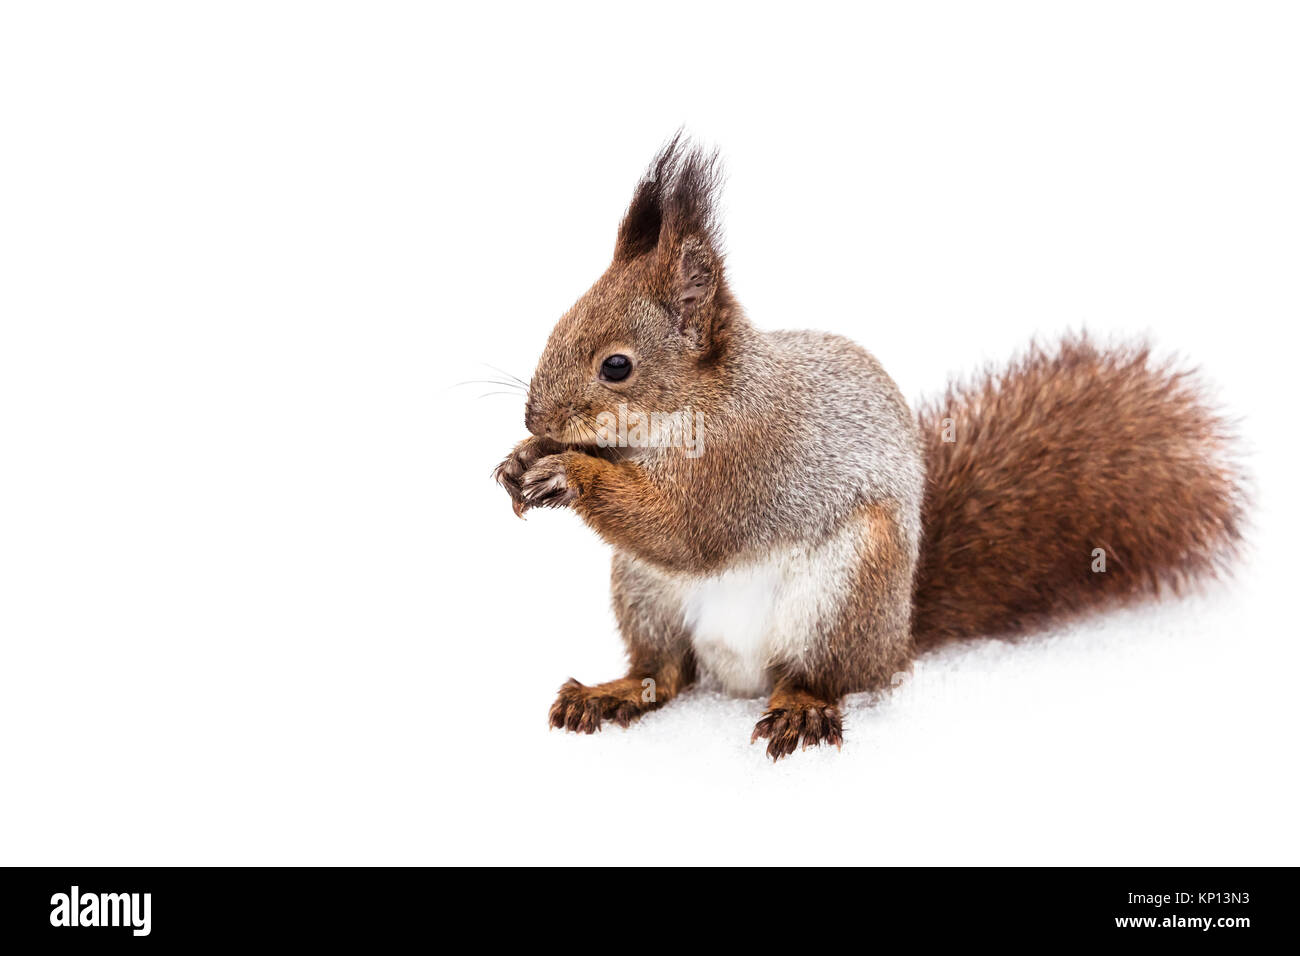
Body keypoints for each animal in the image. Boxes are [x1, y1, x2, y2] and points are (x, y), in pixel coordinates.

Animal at [495, 135, 1246, 759]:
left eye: (616, 367)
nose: (534, 414)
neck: (699, 406)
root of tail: (899, 633)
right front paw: (522, 458)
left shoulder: (748, 464)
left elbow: (685, 528)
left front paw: (567, 472)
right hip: (647, 593)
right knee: (666, 673)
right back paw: (612, 694)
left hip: (849, 587)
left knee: (827, 677)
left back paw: (801, 707)